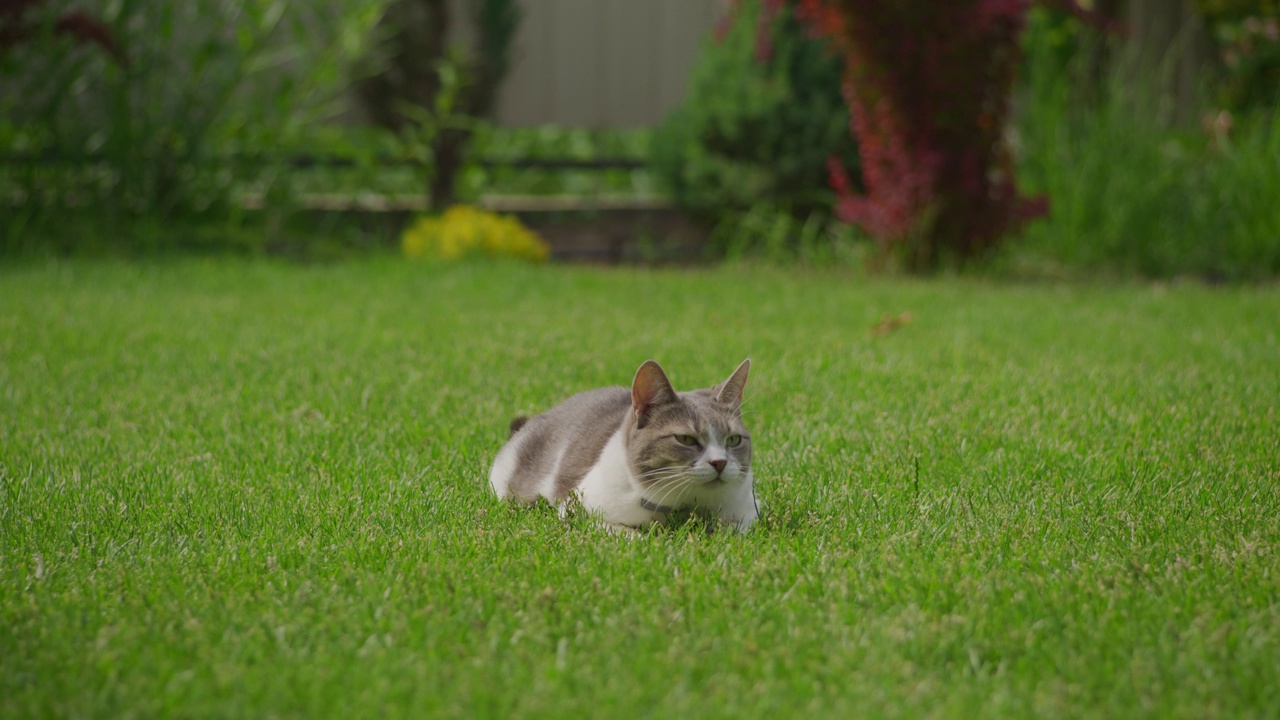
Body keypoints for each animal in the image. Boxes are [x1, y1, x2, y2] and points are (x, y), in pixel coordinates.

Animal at [483, 361, 752, 530]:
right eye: (685, 439)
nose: (720, 462)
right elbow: (630, 534)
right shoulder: (579, 510)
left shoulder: (747, 512)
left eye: (733, 440)